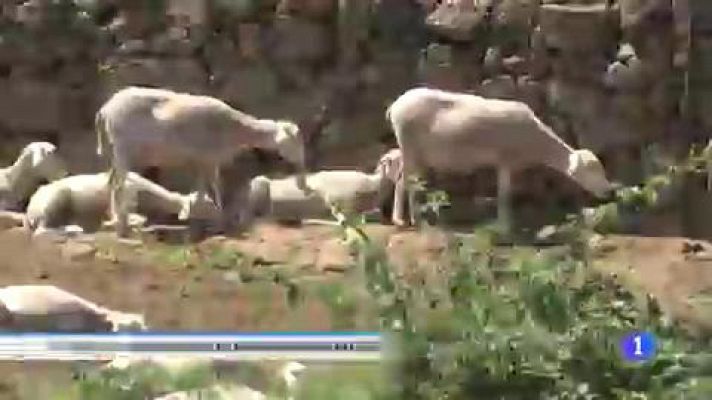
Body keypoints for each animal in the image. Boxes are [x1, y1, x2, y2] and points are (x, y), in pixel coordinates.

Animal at [24, 171, 220, 234]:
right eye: (208, 204)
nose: (220, 214)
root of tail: (29, 211)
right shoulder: (122, 203)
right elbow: (130, 219)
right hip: (56, 199)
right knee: (42, 231)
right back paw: (75, 229)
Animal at [94, 86, 306, 236]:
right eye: (295, 141)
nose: (301, 166)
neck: (236, 130)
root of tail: (105, 110)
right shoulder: (209, 159)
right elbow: (214, 189)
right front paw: (218, 221)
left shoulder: (201, 162)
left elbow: (203, 191)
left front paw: (200, 215)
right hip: (124, 148)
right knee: (119, 186)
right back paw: (123, 227)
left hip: (113, 151)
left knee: (111, 183)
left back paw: (116, 221)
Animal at [386, 87, 616, 231]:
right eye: (589, 171)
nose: (609, 191)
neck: (535, 141)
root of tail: (395, 105)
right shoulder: (505, 159)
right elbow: (505, 194)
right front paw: (505, 225)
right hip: (408, 144)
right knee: (404, 181)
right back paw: (406, 219)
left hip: (416, 151)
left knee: (407, 181)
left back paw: (410, 218)